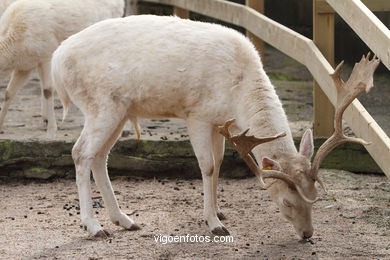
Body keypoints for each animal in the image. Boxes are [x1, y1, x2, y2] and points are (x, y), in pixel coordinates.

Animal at [50, 14, 380, 238]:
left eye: (314, 197)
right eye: (287, 202)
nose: (307, 234)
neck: (238, 92)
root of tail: (56, 59)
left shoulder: (221, 122)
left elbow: (220, 161)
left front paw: (219, 209)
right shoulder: (196, 114)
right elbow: (207, 166)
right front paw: (214, 223)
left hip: (118, 111)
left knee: (100, 157)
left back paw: (125, 220)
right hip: (101, 105)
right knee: (80, 153)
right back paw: (94, 227)